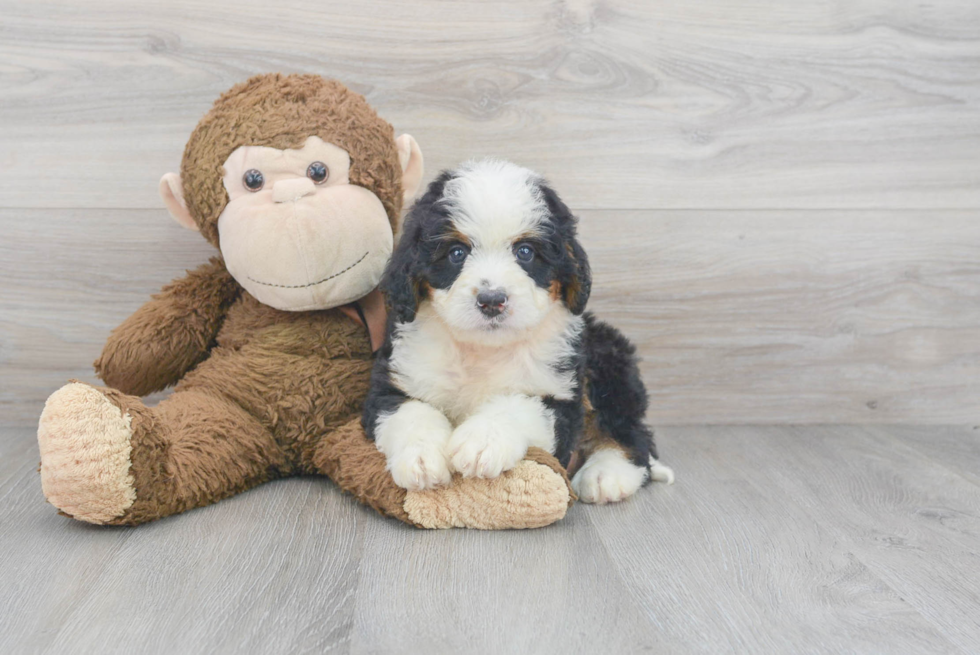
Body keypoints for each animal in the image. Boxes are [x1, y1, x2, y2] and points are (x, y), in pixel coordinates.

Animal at [362, 159, 672, 502]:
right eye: (456, 253)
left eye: (525, 252)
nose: (491, 300)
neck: (483, 350)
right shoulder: (396, 381)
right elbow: (411, 412)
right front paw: (420, 458)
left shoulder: (558, 395)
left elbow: (519, 405)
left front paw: (482, 440)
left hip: (606, 362)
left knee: (630, 433)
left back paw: (606, 474)